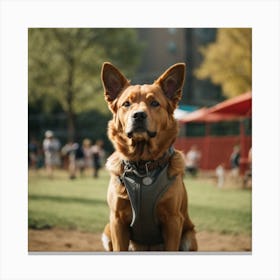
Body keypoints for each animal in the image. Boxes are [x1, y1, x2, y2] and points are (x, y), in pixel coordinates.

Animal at [100, 62, 197, 250]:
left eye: (154, 103)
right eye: (126, 103)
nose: (138, 115)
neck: (142, 165)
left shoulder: (173, 221)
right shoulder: (117, 221)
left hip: (189, 236)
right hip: (107, 231)